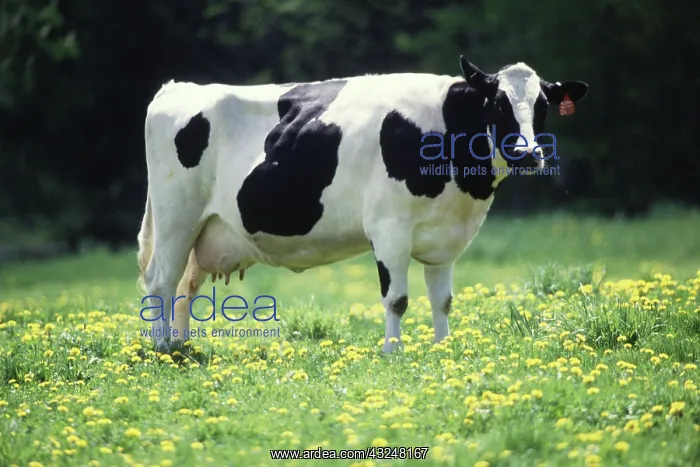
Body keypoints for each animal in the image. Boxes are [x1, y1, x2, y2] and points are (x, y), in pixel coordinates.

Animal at [137, 55, 588, 353]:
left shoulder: (445, 238)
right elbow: (397, 299)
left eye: (542, 106)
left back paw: (182, 347)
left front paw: (443, 348)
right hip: (176, 216)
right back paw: (162, 349)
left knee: (185, 287)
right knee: (160, 281)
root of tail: (177, 88)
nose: (529, 155)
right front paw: (393, 352)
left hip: (204, 229)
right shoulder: (389, 228)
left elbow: (442, 299)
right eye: (498, 103)